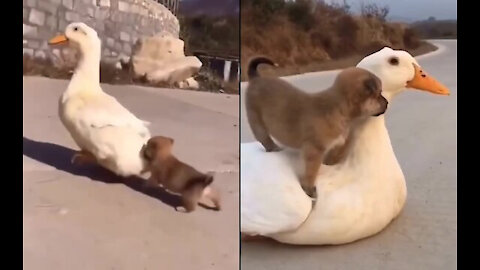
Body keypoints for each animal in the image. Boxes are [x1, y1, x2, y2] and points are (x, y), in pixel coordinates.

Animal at [246, 56, 388, 198]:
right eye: (379, 93)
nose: (386, 102)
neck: (339, 108)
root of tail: (256, 79)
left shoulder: (333, 145)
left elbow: (331, 158)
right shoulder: (314, 151)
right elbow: (311, 172)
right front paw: (309, 189)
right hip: (258, 124)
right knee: (265, 140)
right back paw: (275, 148)